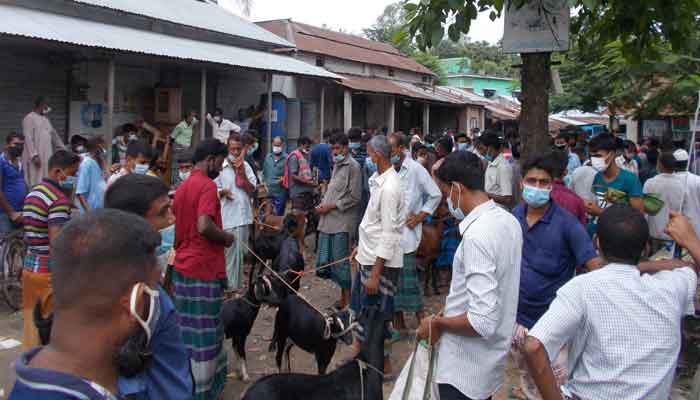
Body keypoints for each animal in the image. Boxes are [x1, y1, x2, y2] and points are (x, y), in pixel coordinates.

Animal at [243, 306, 386, 400]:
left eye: (352, 320)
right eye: (337, 324)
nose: (350, 340)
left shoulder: (327, 357)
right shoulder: (320, 356)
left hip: (292, 338)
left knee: (287, 351)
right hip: (282, 333)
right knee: (278, 355)